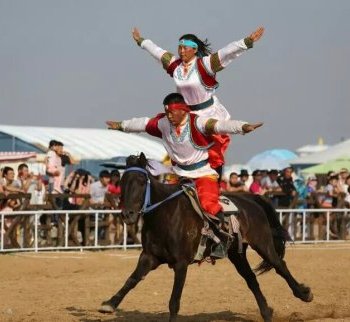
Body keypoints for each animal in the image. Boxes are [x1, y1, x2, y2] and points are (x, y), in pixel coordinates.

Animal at [99, 153, 314, 322]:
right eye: (122, 182)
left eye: (142, 182)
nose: (128, 214)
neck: (165, 214)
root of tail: (251, 199)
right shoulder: (149, 257)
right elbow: (132, 279)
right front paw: (110, 303)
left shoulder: (181, 263)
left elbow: (174, 301)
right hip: (237, 253)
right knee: (251, 279)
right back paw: (266, 313)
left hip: (263, 243)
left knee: (280, 266)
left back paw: (304, 294)